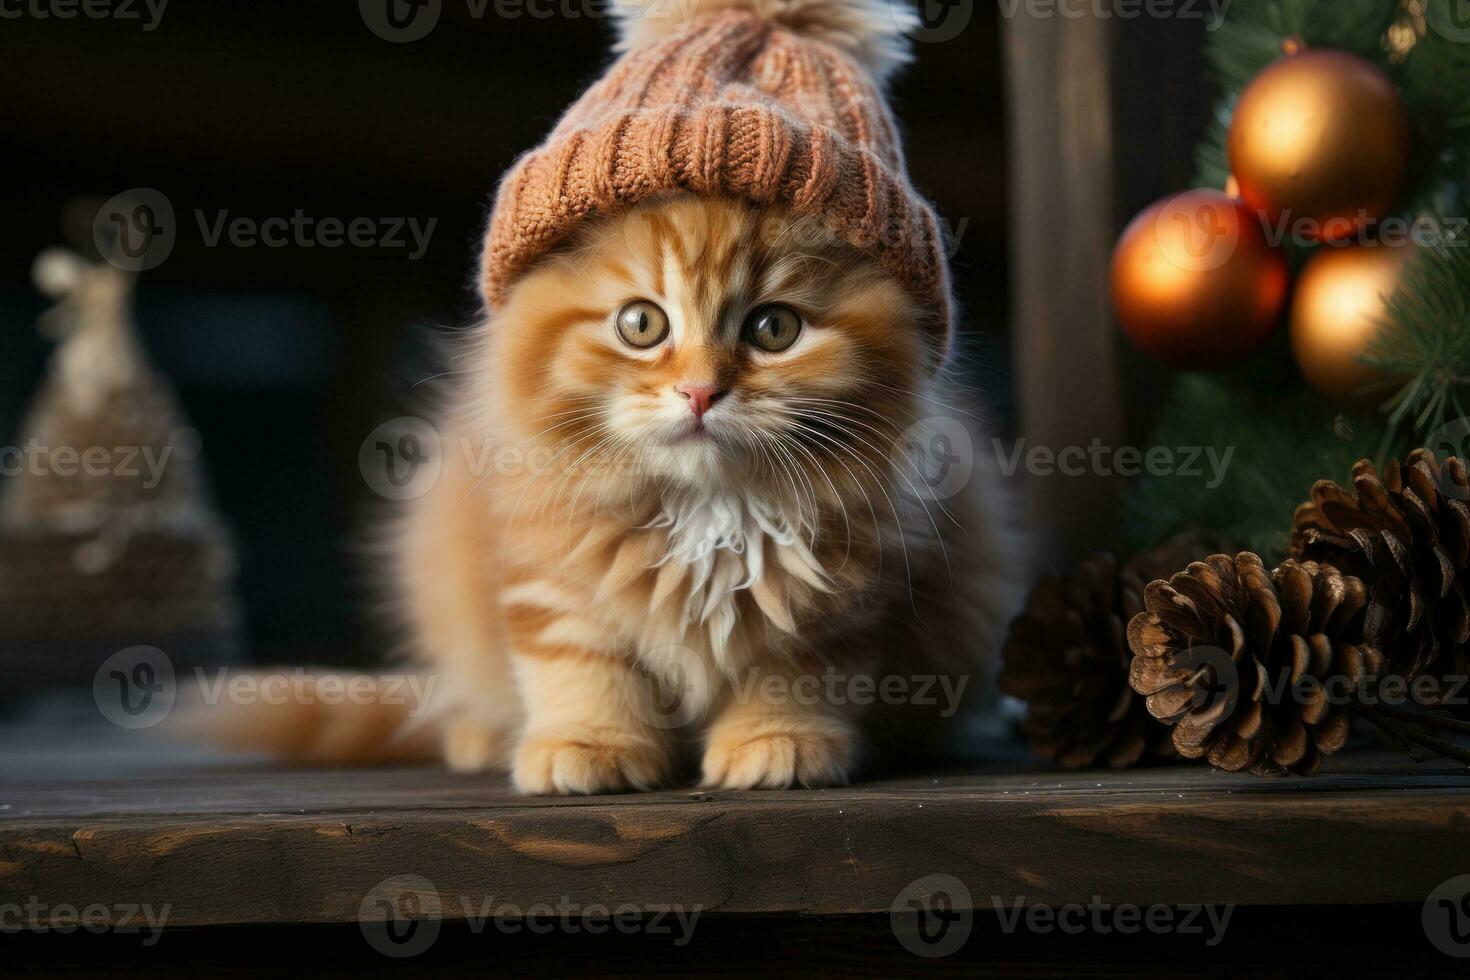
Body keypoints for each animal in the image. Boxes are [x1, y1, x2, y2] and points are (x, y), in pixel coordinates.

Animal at [396, 195, 1023, 793]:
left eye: (774, 329)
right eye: (641, 324)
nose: (700, 392)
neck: (708, 507)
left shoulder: (836, 599)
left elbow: (790, 669)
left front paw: (776, 741)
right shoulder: (547, 566)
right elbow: (581, 661)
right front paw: (589, 743)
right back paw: (478, 738)